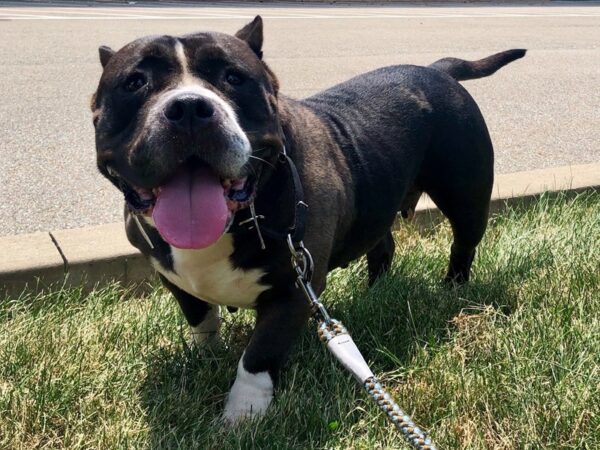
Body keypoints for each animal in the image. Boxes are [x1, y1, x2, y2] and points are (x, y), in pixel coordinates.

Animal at [92, 16, 524, 422]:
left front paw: (242, 414)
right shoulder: (174, 278)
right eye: (134, 82)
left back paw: (453, 289)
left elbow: (259, 356)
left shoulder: (294, 289)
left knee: (463, 243)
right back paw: (377, 290)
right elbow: (200, 317)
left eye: (234, 77)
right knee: (383, 243)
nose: (188, 108)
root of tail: (438, 69)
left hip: (466, 197)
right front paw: (206, 356)